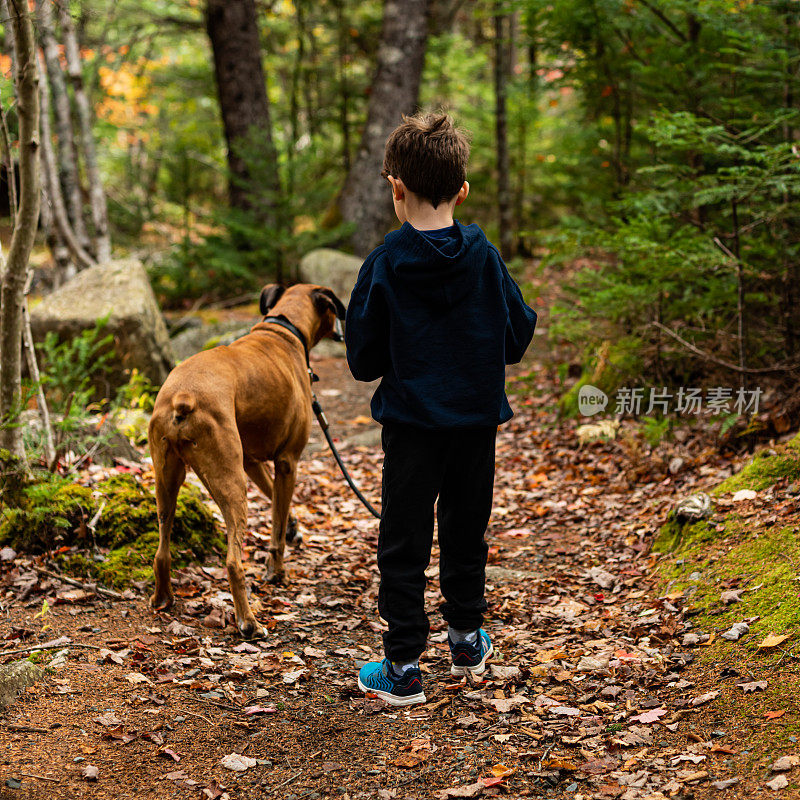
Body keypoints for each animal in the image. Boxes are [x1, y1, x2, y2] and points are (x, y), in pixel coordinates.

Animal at [148, 282, 346, 636]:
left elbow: (275, 501)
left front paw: (293, 527)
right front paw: (276, 570)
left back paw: (163, 598)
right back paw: (249, 622)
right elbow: (276, 526)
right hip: (232, 485)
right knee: (232, 562)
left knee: (161, 552)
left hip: (169, 481)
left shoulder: (252, 463)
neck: (284, 329)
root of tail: (183, 396)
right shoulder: (287, 463)